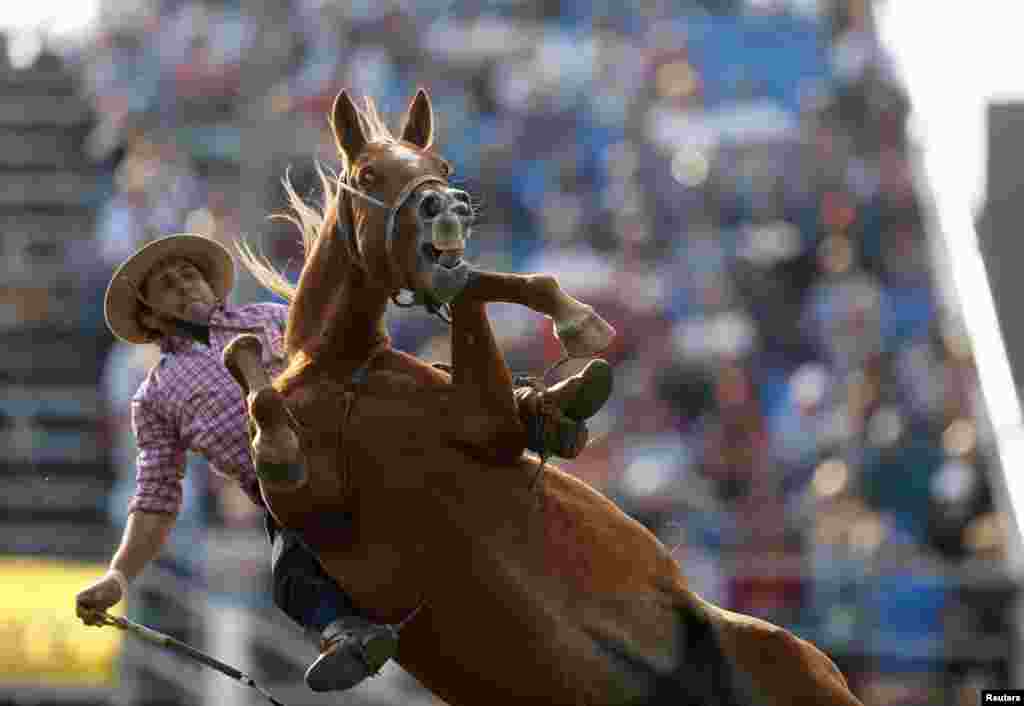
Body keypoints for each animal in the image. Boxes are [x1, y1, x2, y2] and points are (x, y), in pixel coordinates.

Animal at [226, 89, 864, 704]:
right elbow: (263, 406)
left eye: (441, 166)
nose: (446, 205)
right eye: (366, 172)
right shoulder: (305, 501)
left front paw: (574, 317)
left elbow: (474, 287)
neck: (341, 368)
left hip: (791, 662)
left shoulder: (486, 425)